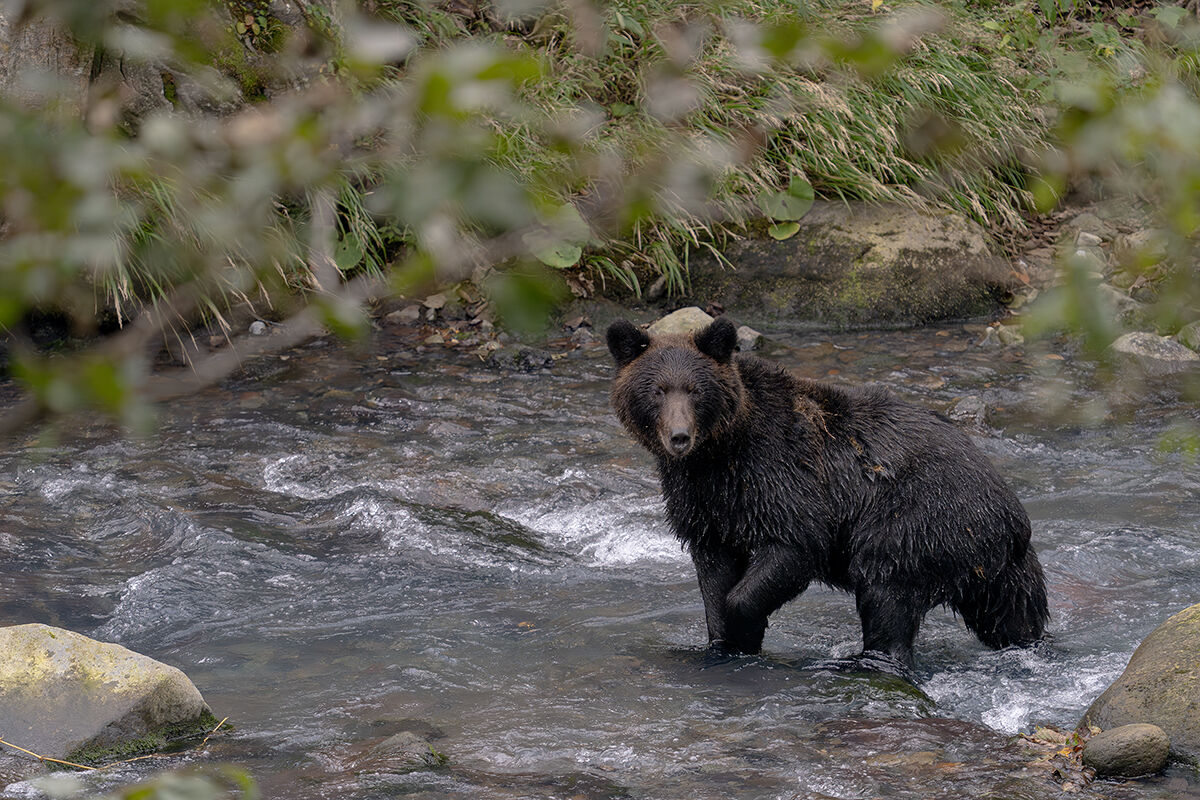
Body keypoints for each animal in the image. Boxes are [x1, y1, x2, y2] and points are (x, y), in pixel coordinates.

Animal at [606, 316, 1048, 666]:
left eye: (695, 390)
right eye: (657, 390)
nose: (679, 437)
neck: (720, 454)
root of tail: (1012, 513)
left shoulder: (780, 480)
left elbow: (794, 545)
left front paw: (744, 628)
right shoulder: (707, 505)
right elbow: (714, 573)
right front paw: (722, 642)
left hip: (919, 520)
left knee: (886, 592)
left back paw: (871, 660)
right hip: (989, 567)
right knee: (1011, 611)